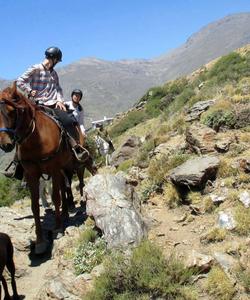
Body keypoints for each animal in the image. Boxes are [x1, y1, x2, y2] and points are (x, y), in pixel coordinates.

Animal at [0, 83, 86, 254]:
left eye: (12, 111)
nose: (5, 144)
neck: (36, 139)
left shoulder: (53, 168)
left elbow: (56, 197)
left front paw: (58, 228)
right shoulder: (32, 174)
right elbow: (35, 206)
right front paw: (40, 241)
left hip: (71, 164)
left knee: (76, 179)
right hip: (61, 169)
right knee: (64, 187)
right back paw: (65, 212)